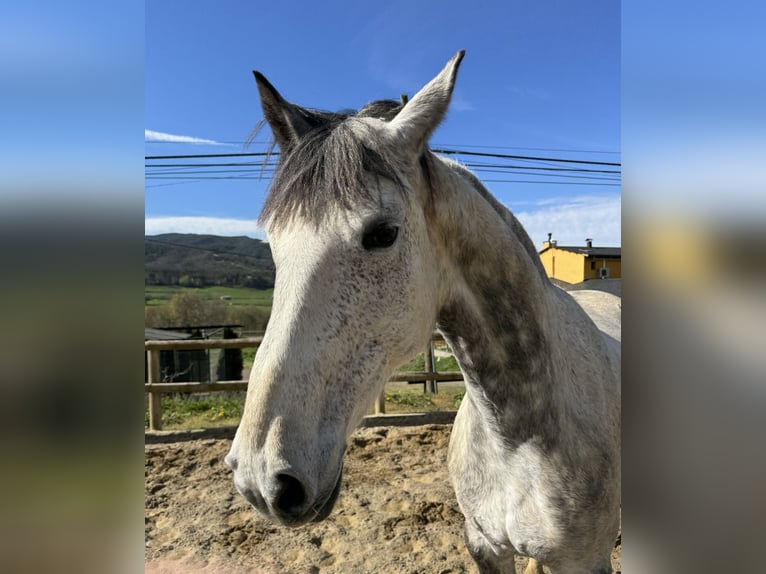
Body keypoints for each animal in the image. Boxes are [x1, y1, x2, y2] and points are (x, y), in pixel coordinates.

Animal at [225, 51, 620, 572]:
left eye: (383, 233)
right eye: (274, 241)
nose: (262, 480)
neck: (520, 438)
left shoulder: (585, 560)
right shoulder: (484, 543)